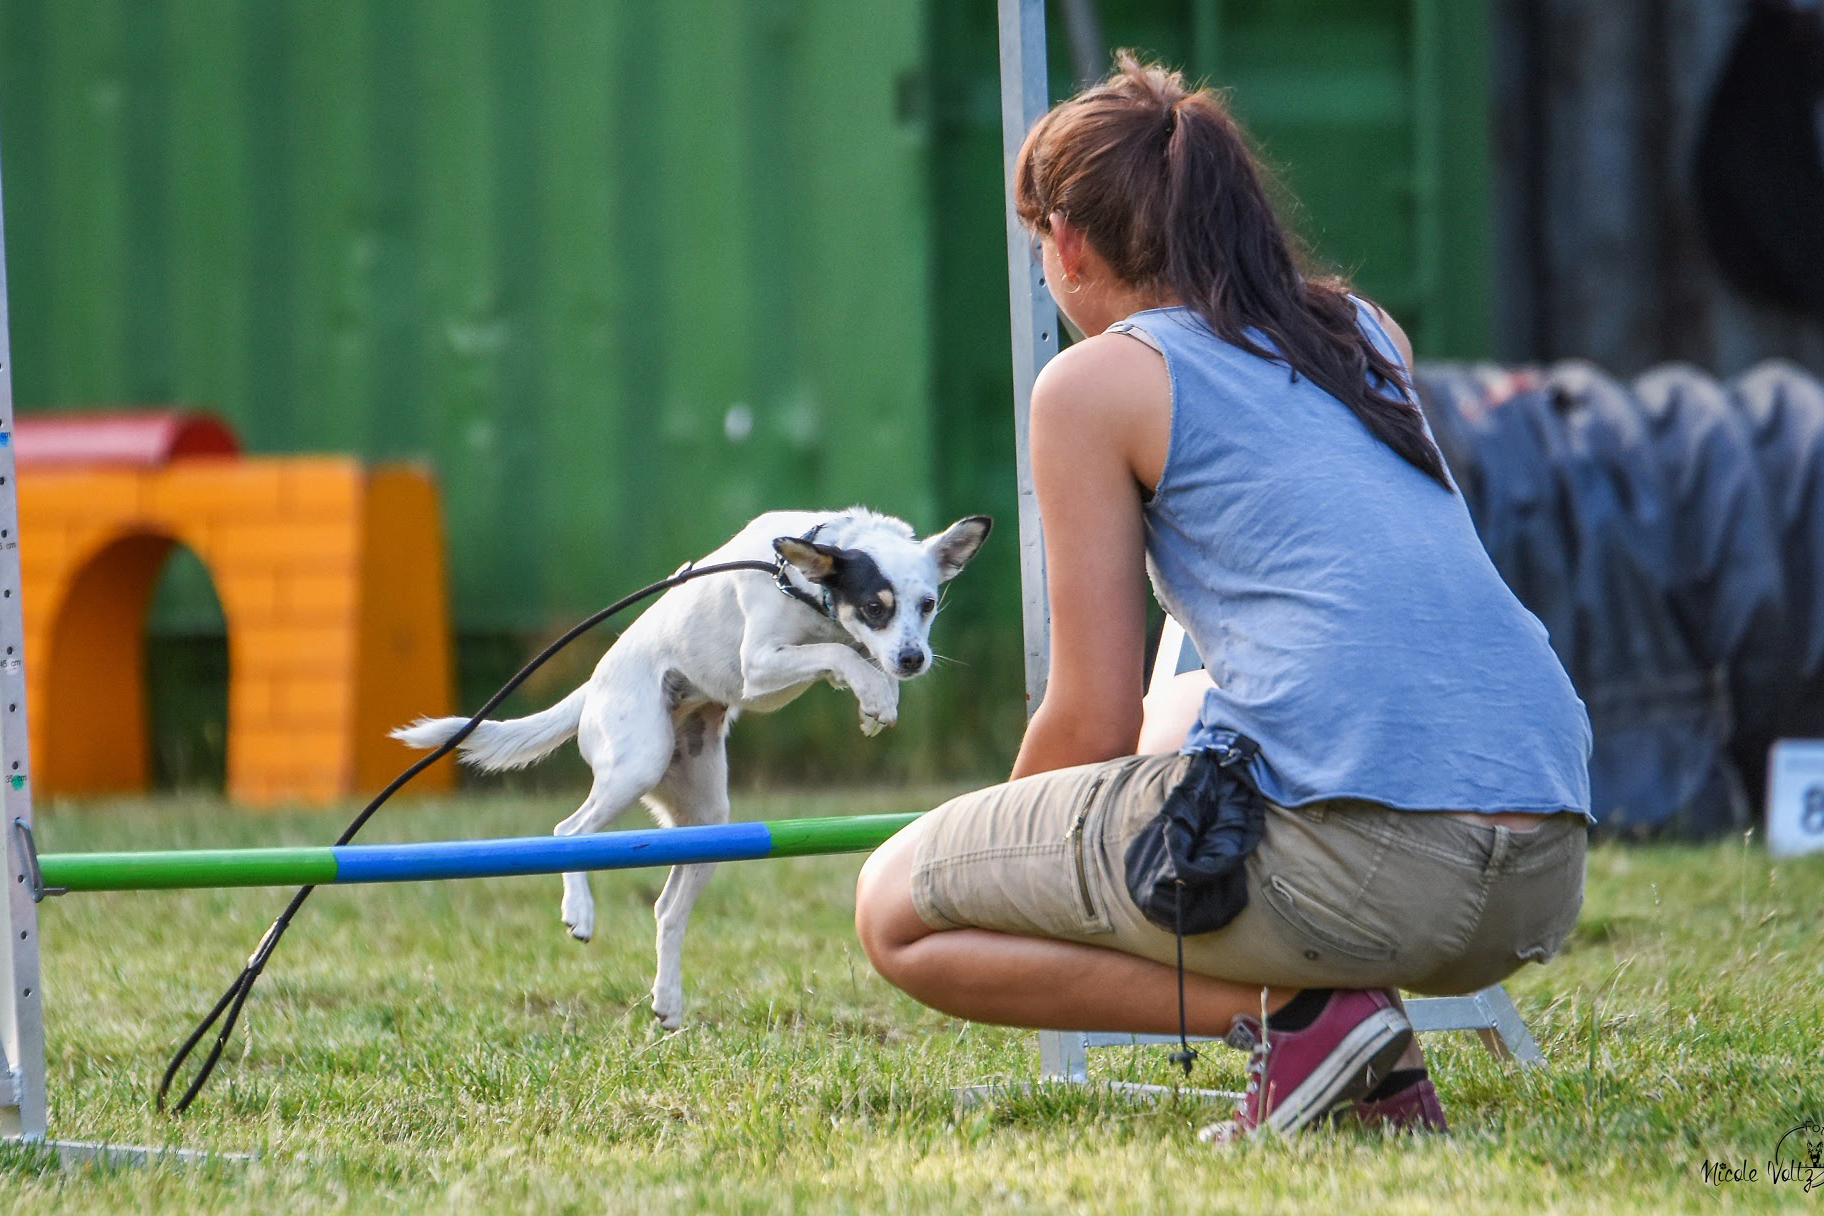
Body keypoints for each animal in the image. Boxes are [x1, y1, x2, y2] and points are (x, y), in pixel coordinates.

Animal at [395, 510, 999, 1035]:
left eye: (928, 603)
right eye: (875, 606)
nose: (914, 659)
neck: (805, 587)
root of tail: (590, 689)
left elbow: (855, 660)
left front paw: (879, 700)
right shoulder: (760, 666)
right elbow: (842, 655)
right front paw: (874, 691)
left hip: (710, 822)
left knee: (667, 910)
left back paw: (667, 1001)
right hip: (636, 765)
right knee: (568, 833)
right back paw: (579, 911)